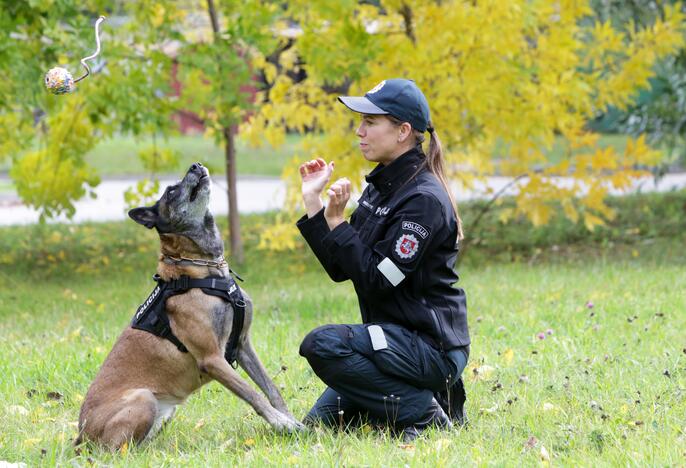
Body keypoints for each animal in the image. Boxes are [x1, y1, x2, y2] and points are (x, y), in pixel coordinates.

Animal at [75, 162, 304, 450]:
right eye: (171, 191)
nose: (196, 165)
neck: (202, 270)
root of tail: (81, 435)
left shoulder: (242, 346)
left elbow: (271, 390)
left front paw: (291, 419)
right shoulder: (213, 359)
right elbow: (254, 394)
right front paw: (282, 424)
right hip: (143, 398)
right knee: (116, 450)